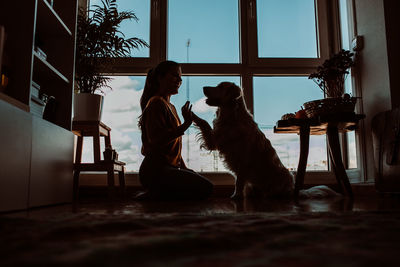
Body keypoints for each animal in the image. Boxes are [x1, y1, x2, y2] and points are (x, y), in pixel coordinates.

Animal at [192, 82, 340, 200]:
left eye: (221, 87)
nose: (204, 87)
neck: (232, 117)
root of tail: (293, 190)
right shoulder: (215, 140)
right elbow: (204, 123)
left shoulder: (243, 160)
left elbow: (239, 181)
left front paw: (236, 196)